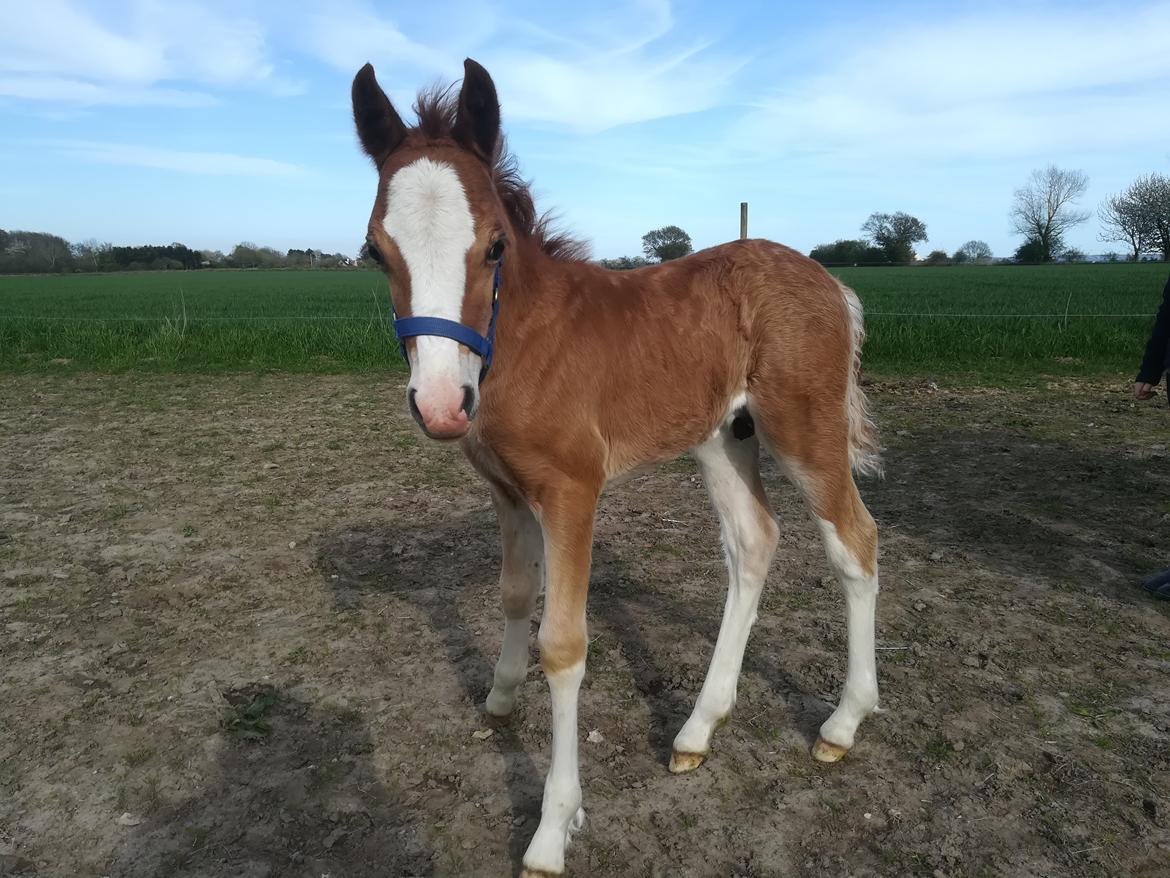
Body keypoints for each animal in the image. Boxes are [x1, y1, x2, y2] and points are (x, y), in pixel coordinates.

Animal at [351, 58, 879, 875]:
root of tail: (831, 282)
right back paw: (698, 729)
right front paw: (500, 699)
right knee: (754, 543)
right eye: (377, 250)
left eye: (495, 245)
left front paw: (551, 828)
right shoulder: (506, 491)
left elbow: (564, 645)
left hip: (805, 430)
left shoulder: (572, 490)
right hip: (722, 436)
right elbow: (513, 595)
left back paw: (841, 725)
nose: (441, 404)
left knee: (855, 543)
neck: (520, 342)